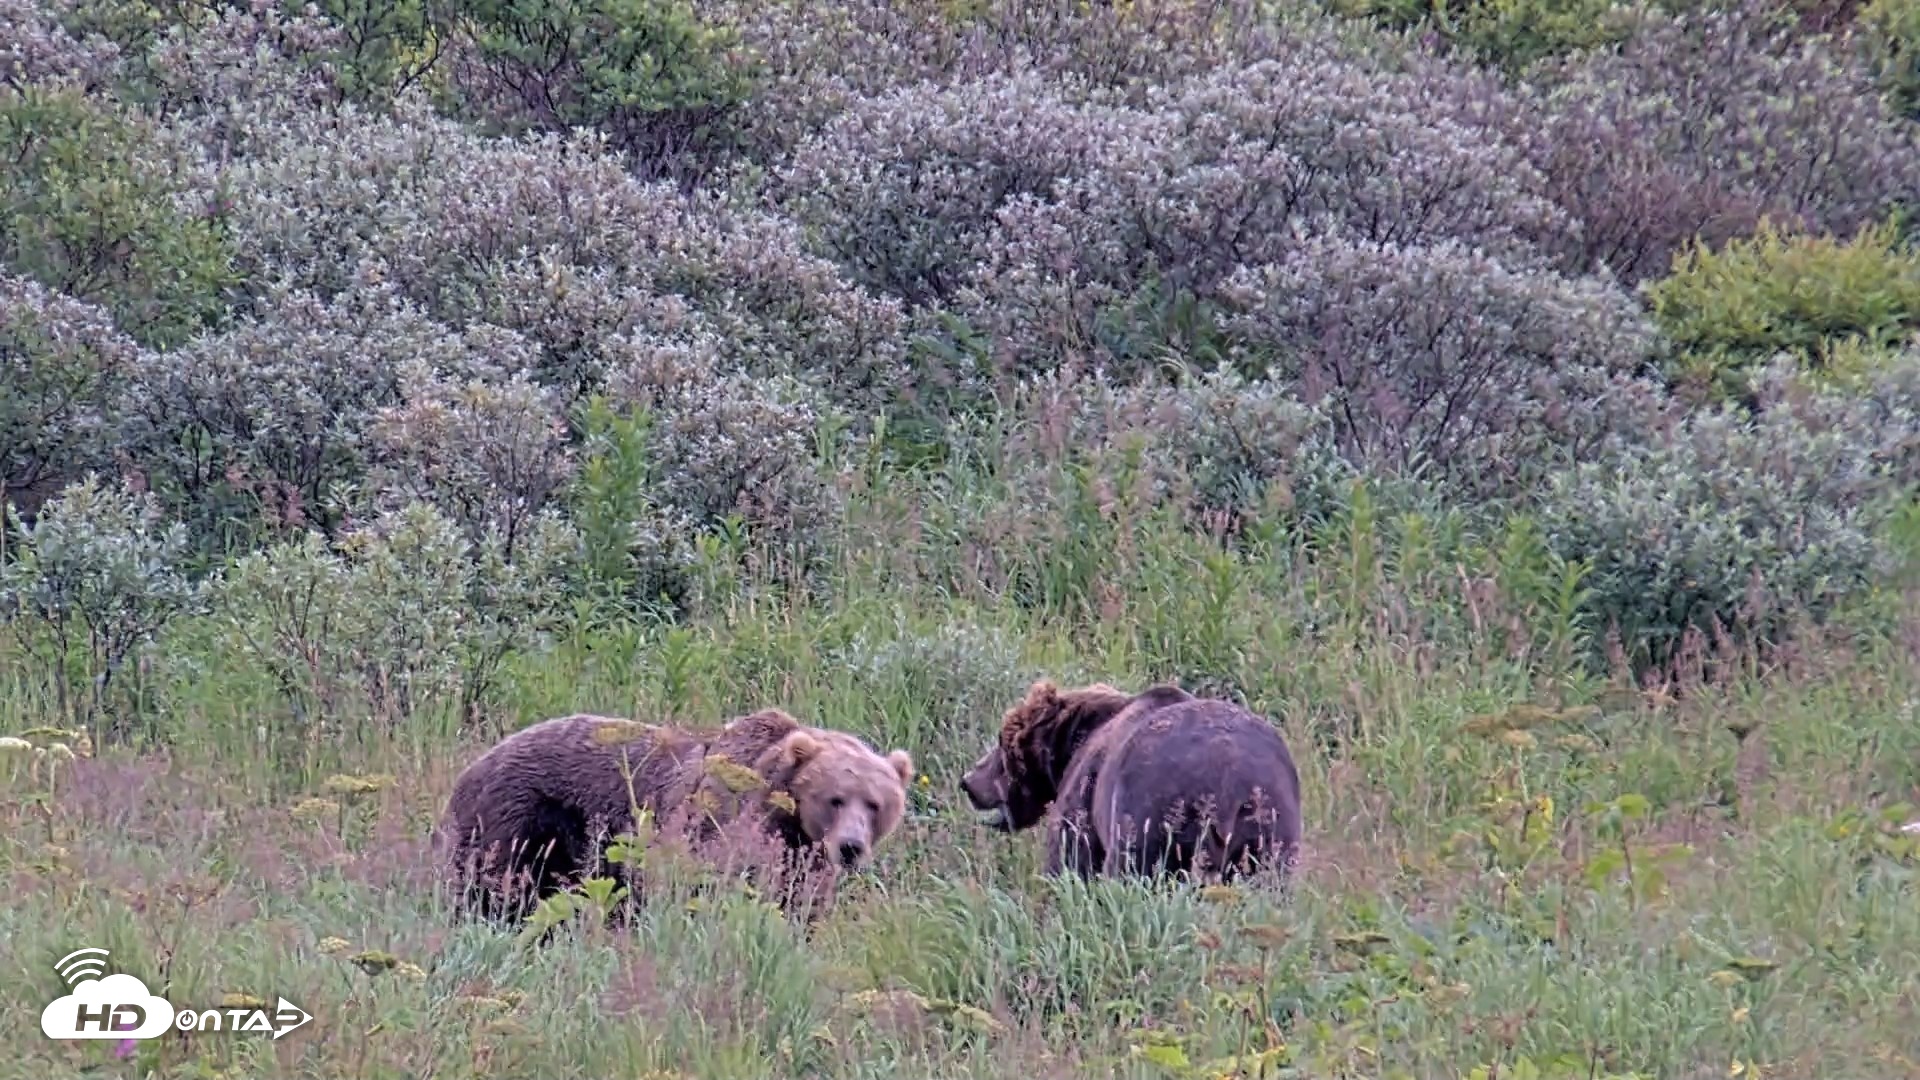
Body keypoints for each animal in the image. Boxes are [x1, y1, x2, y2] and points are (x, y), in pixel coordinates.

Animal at [435, 707, 915, 922]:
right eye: (836, 798)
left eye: (875, 804)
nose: (850, 847)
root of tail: (469, 770)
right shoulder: (714, 825)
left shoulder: (803, 861)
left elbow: (799, 906)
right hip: (518, 820)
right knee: (496, 889)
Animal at [958, 679, 1302, 883]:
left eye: (1001, 743)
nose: (968, 781)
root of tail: (1226, 782)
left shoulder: (1085, 792)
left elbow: (1070, 859)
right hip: (1269, 822)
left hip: (1152, 813)